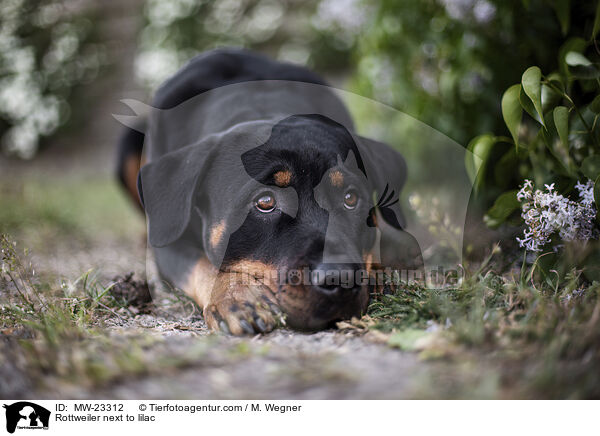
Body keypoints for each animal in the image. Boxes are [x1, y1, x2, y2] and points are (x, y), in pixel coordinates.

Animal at [118, 48, 422, 334]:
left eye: (350, 198)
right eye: (265, 201)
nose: (340, 278)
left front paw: (381, 276)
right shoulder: (170, 244)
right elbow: (202, 265)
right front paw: (238, 297)